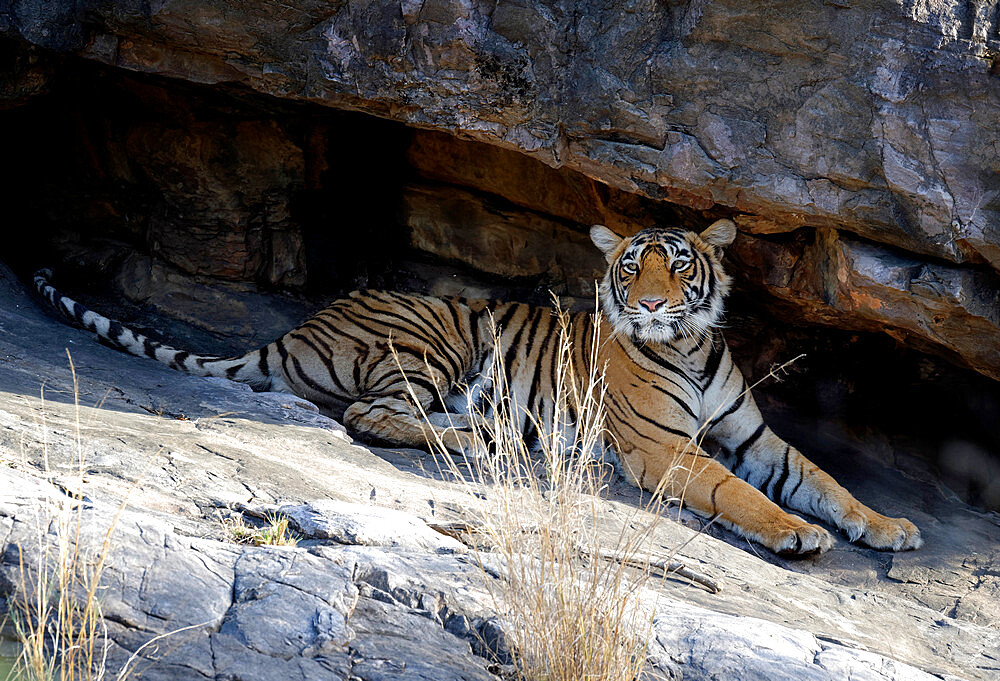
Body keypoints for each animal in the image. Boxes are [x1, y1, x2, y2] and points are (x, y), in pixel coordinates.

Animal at [31, 220, 920, 556]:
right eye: (630, 267)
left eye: (677, 264)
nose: (648, 305)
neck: (693, 345)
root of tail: (297, 328)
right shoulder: (663, 447)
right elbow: (741, 495)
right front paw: (796, 535)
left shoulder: (755, 436)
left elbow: (824, 479)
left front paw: (889, 527)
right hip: (434, 341)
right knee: (374, 415)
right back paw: (487, 439)